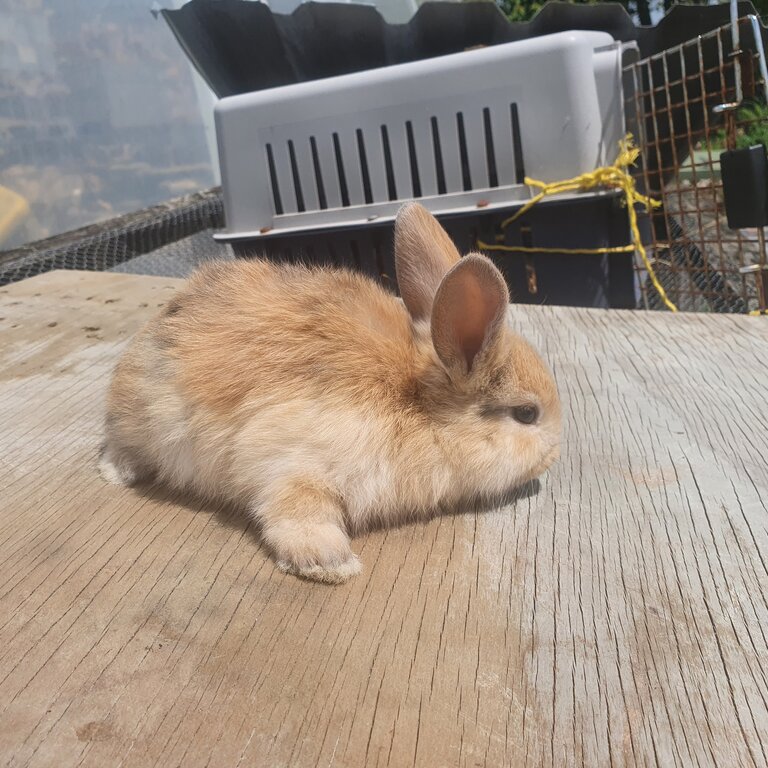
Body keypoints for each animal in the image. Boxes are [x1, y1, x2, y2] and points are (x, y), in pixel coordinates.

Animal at [100, 202, 560, 584]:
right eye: (526, 414)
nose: (552, 459)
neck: (417, 401)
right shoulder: (292, 460)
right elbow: (297, 511)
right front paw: (331, 564)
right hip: (141, 421)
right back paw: (116, 473)